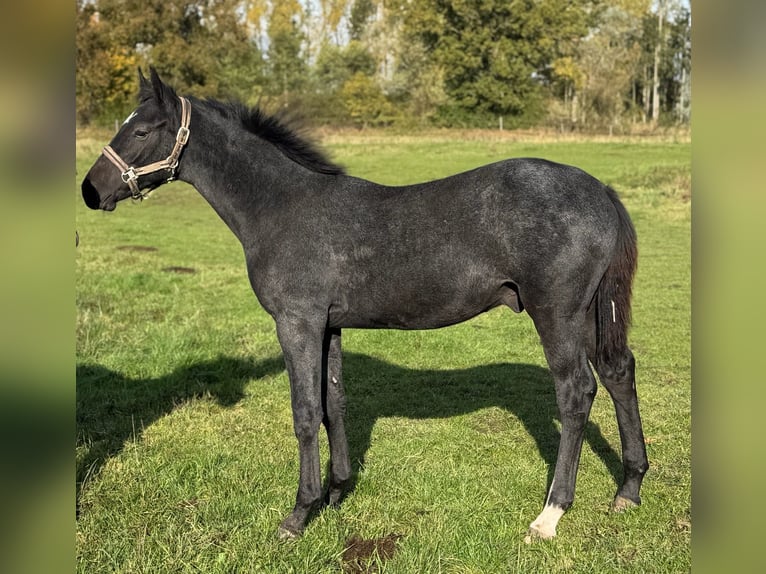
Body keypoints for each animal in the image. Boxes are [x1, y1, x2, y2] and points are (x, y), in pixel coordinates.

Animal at [81, 68, 647, 541]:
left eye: (140, 131)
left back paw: (550, 514)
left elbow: (305, 413)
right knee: (618, 373)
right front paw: (335, 495)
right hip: (592, 314)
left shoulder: (297, 323)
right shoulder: (329, 326)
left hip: (557, 314)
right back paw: (629, 489)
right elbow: (334, 404)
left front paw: (299, 514)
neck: (280, 206)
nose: (90, 191)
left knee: (576, 392)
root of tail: (599, 189)